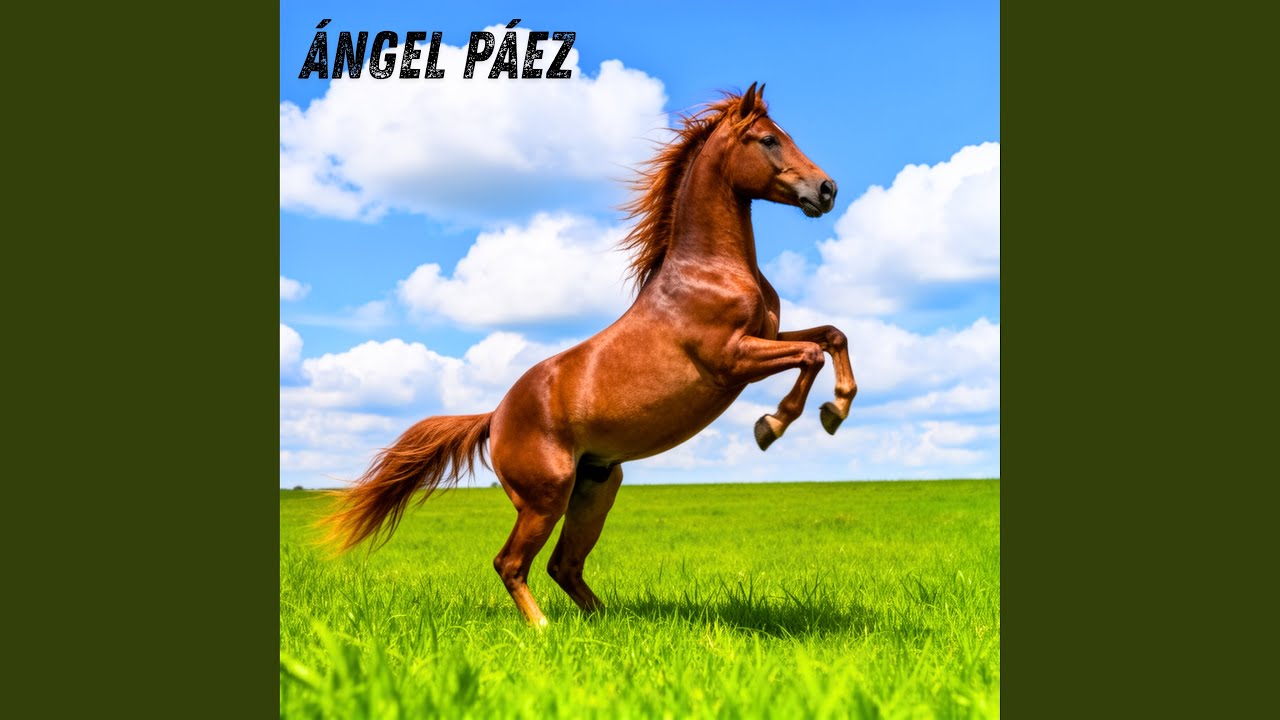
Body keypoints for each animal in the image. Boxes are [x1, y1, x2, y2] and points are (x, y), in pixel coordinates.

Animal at [322, 83, 857, 626]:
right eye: (768, 139)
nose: (827, 190)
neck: (709, 270)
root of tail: (494, 417)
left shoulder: (767, 337)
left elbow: (832, 336)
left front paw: (835, 409)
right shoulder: (733, 360)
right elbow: (810, 354)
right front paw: (774, 425)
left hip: (597, 486)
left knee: (563, 565)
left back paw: (610, 622)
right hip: (546, 496)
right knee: (511, 562)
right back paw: (543, 629)